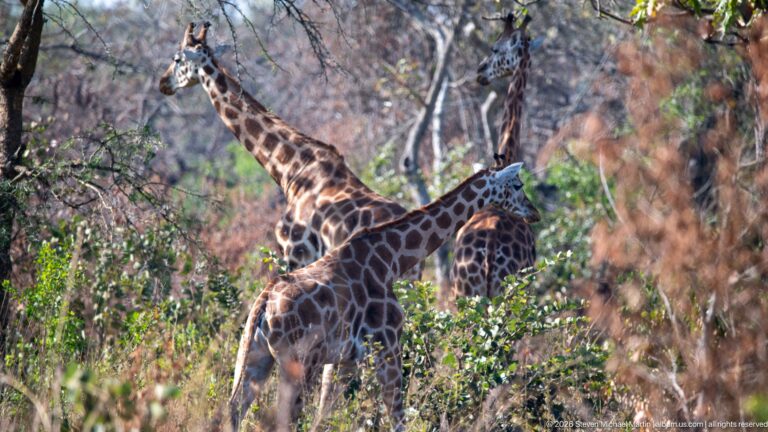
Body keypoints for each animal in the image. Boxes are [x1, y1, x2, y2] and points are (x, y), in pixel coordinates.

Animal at [228, 161, 539, 431]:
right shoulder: (388, 345)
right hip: (299, 362)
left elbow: (330, 412)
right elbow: (397, 416)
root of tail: (264, 305)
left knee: (235, 407)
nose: (533, 212)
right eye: (518, 184)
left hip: (255, 357)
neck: (391, 258)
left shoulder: (345, 358)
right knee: (285, 417)